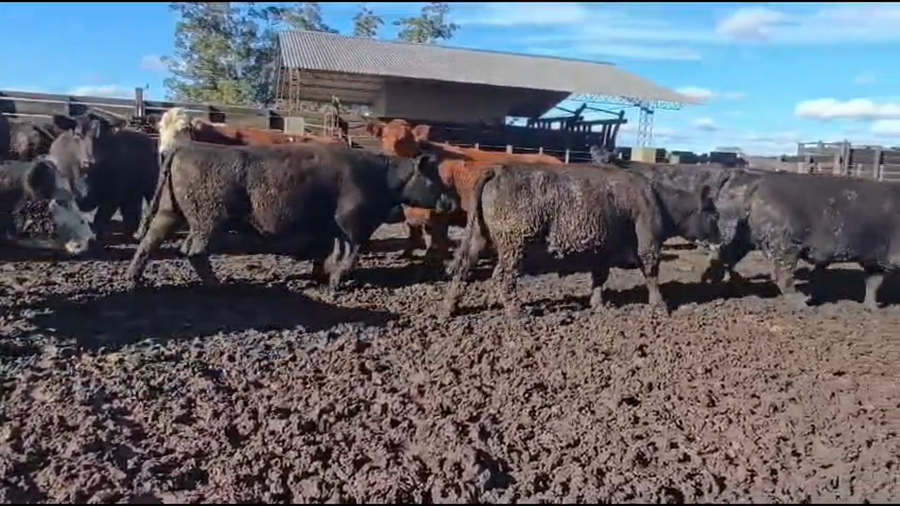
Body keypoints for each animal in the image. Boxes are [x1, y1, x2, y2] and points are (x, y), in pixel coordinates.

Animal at [126, 108, 460, 291]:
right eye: (434, 178)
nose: (452, 202)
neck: (379, 178)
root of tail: (182, 150)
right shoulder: (354, 223)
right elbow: (350, 253)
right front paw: (337, 281)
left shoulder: (332, 227)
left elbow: (331, 251)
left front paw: (324, 276)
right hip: (207, 218)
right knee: (192, 251)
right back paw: (216, 286)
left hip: (170, 212)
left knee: (150, 242)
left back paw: (133, 280)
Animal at [442, 163, 720, 319]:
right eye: (715, 215)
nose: (721, 239)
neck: (658, 198)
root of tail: (499, 169)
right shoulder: (648, 243)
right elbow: (651, 273)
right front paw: (659, 305)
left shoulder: (603, 249)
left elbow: (599, 277)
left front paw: (597, 304)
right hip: (515, 243)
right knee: (502, 276)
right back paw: (516, 312)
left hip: (478, 236)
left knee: (463, 268)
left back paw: (450, 308)